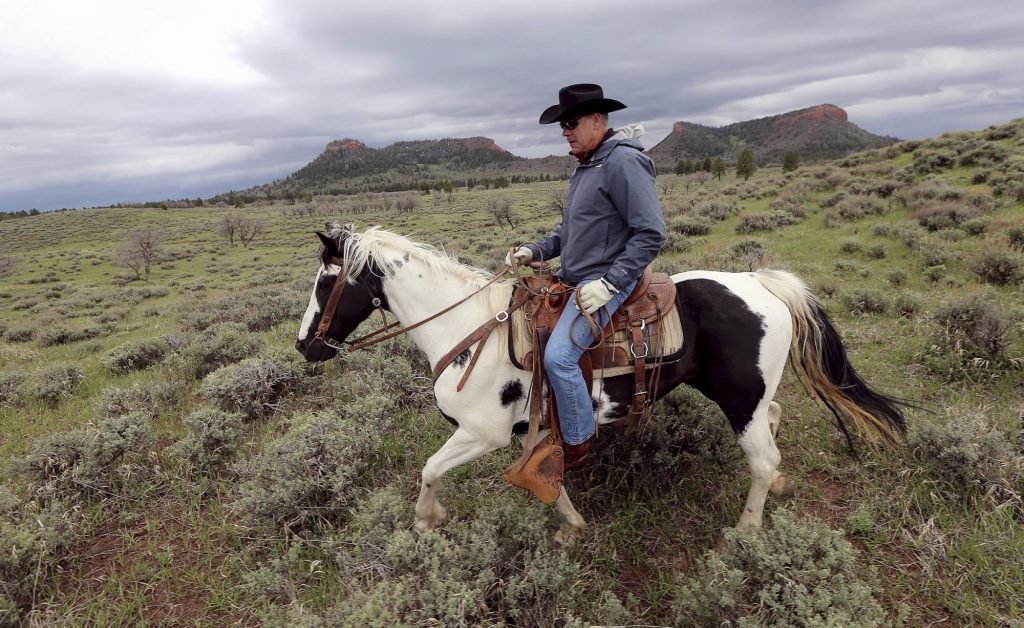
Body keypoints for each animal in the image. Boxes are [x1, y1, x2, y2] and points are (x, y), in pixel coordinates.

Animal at [294, 224, 908, 542]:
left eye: (326, 281)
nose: (303, 346)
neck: (470, 329)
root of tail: (761, 282)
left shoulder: (481, 434)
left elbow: (428, 470)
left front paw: (427, 521)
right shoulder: (529, 431)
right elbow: (550, 479)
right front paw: (571, 523)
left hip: (740, 403)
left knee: (761, 461)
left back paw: (747, 530)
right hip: (752, 399)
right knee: (774, 430)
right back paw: (779, 490)